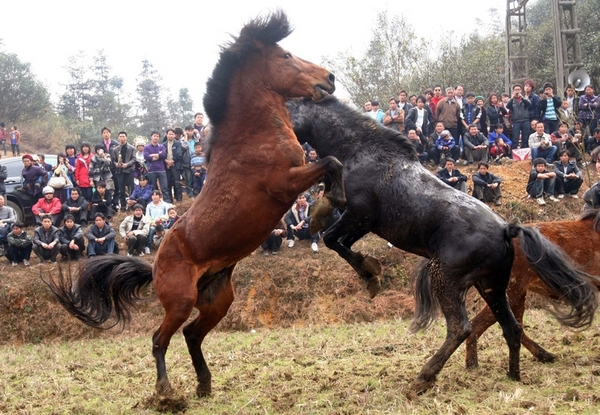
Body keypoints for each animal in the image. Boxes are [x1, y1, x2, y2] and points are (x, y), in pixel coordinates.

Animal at [45, 10, 346, 400]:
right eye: (286, 56)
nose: (329, 78)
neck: (254, 135)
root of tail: (155, 266)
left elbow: (334, 164)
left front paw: (325, 209)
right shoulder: (283, 184)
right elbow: (331, 163)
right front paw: (324, 210)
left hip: (218, 299)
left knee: (191, 334)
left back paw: (204, 383)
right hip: (180, 301)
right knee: (160, 339)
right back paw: (166, 392)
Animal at [466, 210, 600, 368]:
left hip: (517, 294)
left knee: (516, 327)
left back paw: (543, 355)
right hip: (509, 292)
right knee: (478, 324)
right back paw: (472, 364)